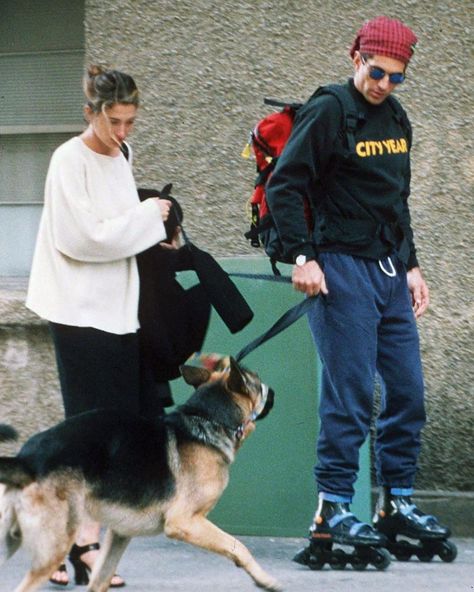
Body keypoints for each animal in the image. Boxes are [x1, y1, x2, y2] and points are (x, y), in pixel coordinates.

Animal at [0, 356, 282, 592]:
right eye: (257, 382)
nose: (274, 392)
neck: (207, 419)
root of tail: (26, 460)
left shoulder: (119, 534)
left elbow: (100, 579)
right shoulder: (186, 522)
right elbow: (238, 546)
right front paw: (265, 579)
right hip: (53, 546)